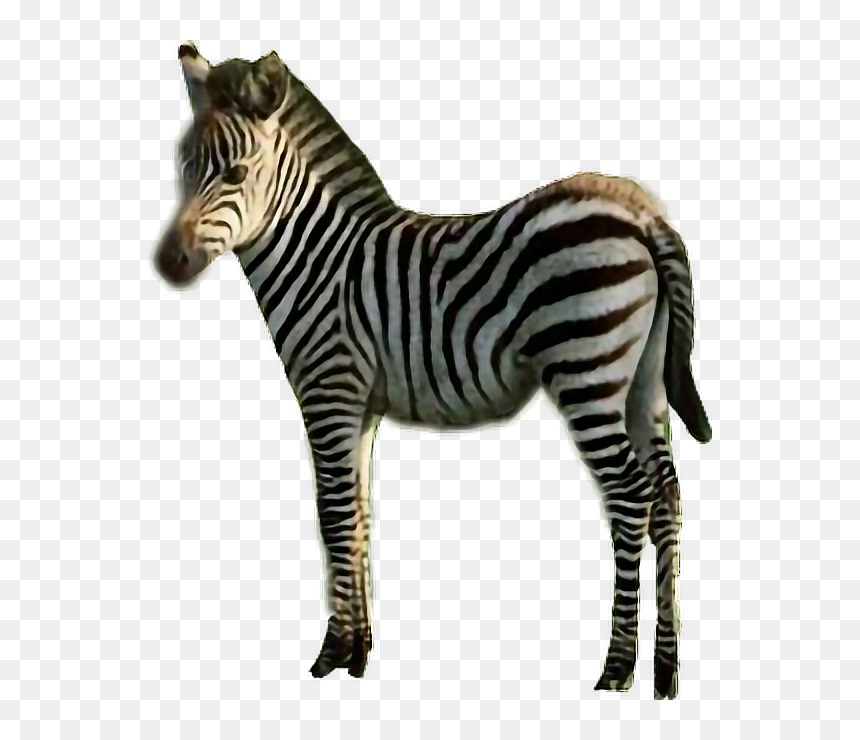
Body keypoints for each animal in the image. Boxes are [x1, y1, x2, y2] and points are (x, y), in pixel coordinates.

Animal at [154, 44, 712, 699]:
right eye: (182, 170)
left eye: (236, 175)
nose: (168, 263)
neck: (317, 255)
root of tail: (642, 212)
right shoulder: (361, 407)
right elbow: (359, 512)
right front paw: (361, 649)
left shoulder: (328, 389)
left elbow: (332, 513)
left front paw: (331, 654)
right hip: (644, 380)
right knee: (668, 496)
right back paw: (666, 669)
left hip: (586, 370)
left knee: (629, 497)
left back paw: (616, 668)